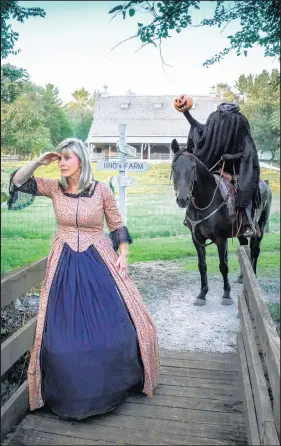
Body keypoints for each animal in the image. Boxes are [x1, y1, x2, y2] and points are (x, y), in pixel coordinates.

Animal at [171, 139, 272, 306]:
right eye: (174, 167)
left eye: (193, 167)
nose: (182, 199)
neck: (206, 200)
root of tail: (265, 185)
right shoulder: (197, 240)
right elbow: (202, 266)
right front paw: (202, 294)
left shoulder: (220, 239)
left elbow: (223, 265)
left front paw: (226, 295)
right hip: (241, 232)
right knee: (245, 248)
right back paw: (243, 277)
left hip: (261, 226)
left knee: (255, 250)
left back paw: (253, 277)